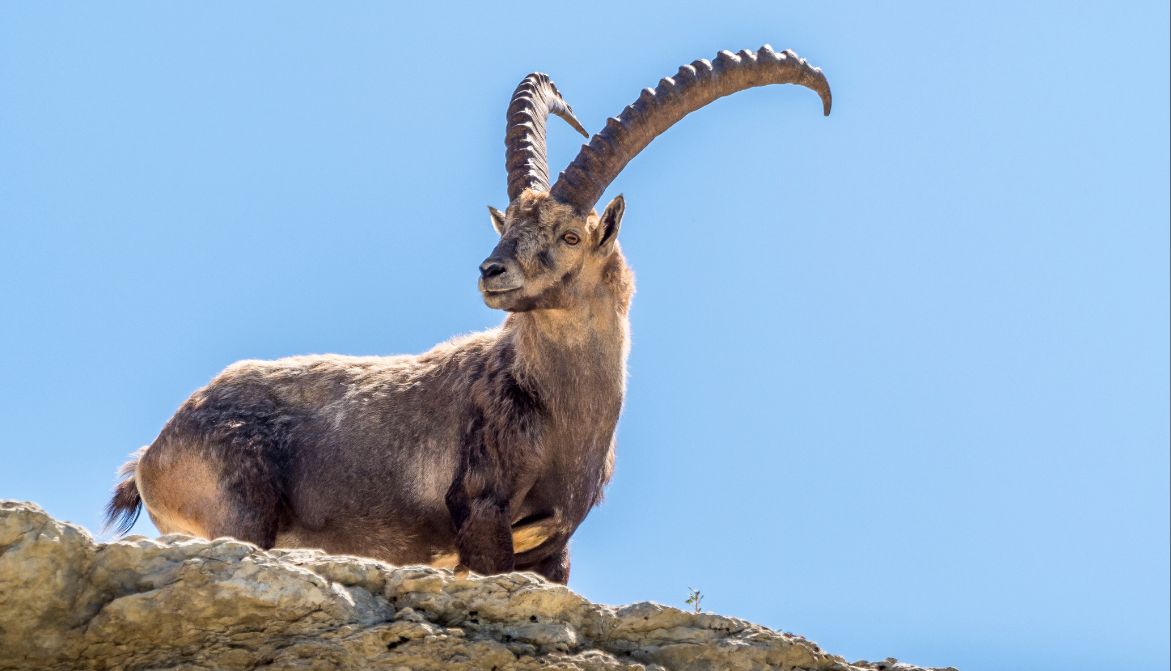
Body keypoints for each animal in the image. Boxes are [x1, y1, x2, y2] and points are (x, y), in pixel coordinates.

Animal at [105, 46, 832, 583]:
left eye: (571, 235)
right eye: (507, 224)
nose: (492, 272)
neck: (561, 407)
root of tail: (154, 450)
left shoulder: (554, 546)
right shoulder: (481, 514)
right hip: (242, 515)